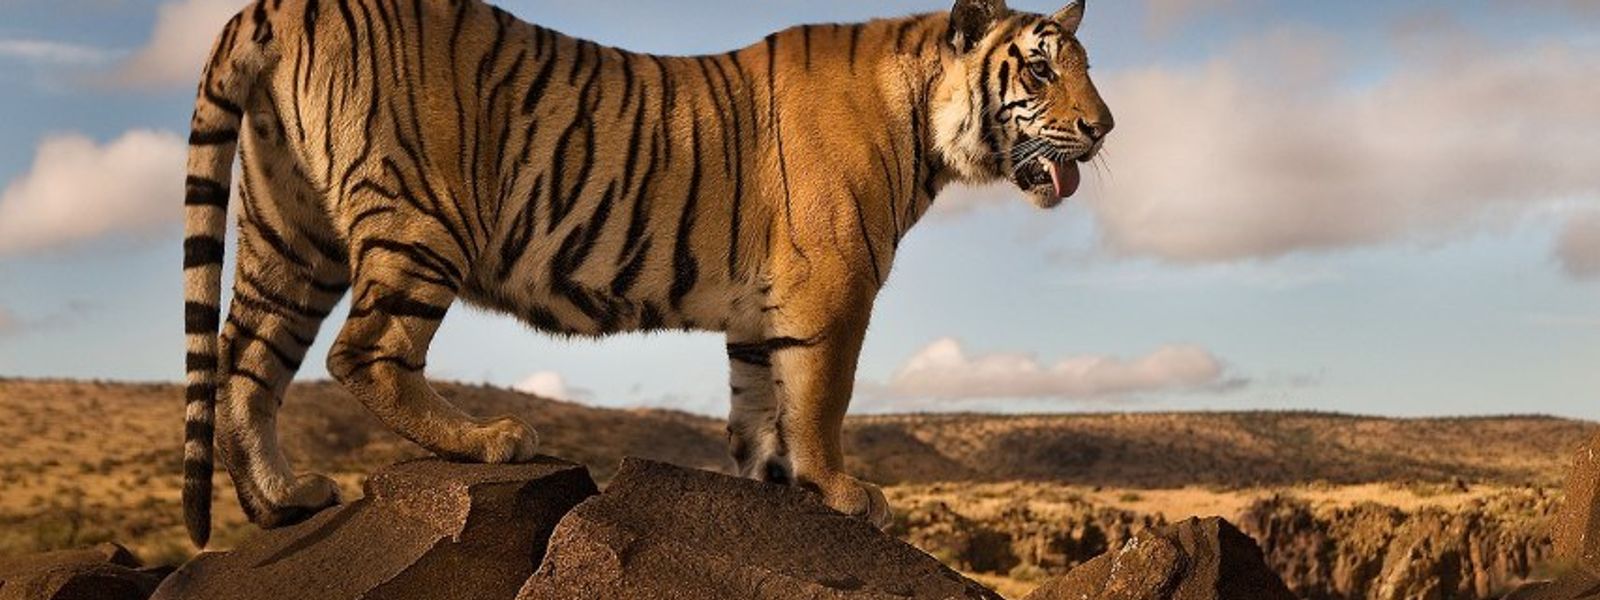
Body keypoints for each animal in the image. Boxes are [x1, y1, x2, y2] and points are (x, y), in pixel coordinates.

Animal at [181, 0, 1113, 547]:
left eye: (1087, 64)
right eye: (1040, 68)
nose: (1104, 128)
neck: (926, 125)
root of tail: (282, 3)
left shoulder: (759, 312)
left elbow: (760, 405)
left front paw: (774, 484)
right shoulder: (833, 286)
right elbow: (822, 398)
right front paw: (842, 491)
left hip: (289, 231)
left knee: (246, 360)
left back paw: (280, 503)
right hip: (419, 218)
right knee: (362, 352)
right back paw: (489, 441)